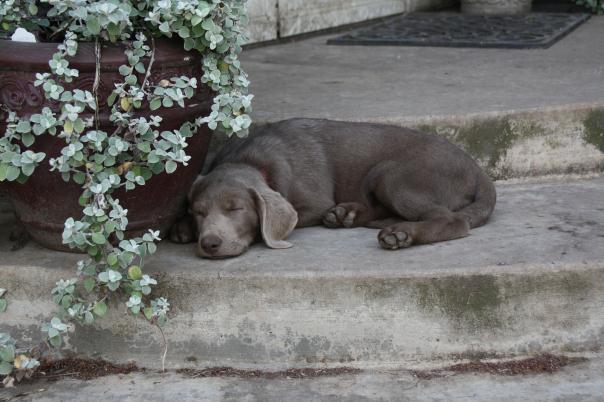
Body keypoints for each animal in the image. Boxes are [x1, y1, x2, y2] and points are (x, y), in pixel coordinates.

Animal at [169, 118, 496, 260]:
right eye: (198, 212)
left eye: (236, 209)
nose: (210, 244)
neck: (250, 159)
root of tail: (476, 168)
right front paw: (182, 227)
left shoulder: (314, 202)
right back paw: (347, 215)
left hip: (391, 174)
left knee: (451, 220)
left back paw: (400, 234)